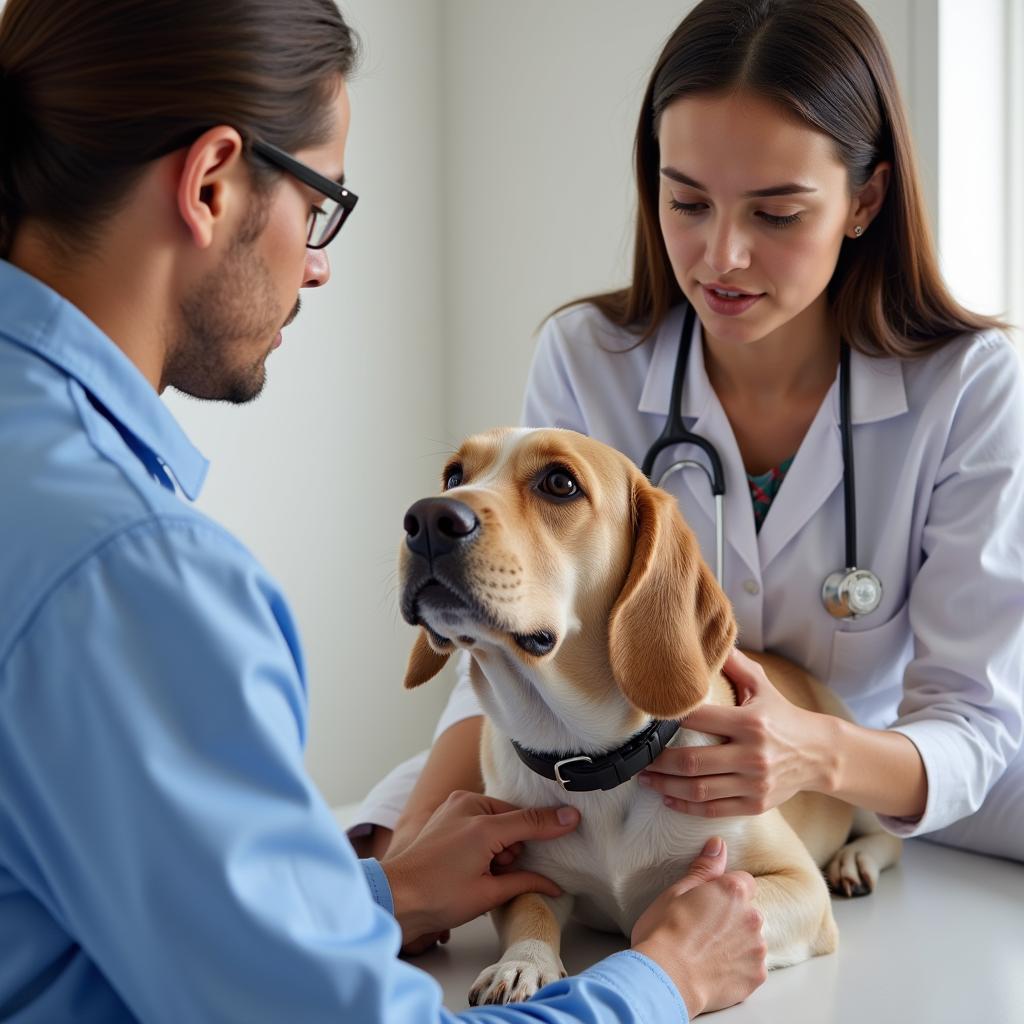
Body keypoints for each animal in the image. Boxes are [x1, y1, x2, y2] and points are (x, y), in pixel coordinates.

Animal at [399, 425, 905, 1007]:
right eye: (454, 476)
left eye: (559, 483)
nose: (425, 519)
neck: (591, 757)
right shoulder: (520, 872)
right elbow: (529, 914)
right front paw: (523, 963)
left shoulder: (799, 886)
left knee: (890, 834)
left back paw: (855, 860)